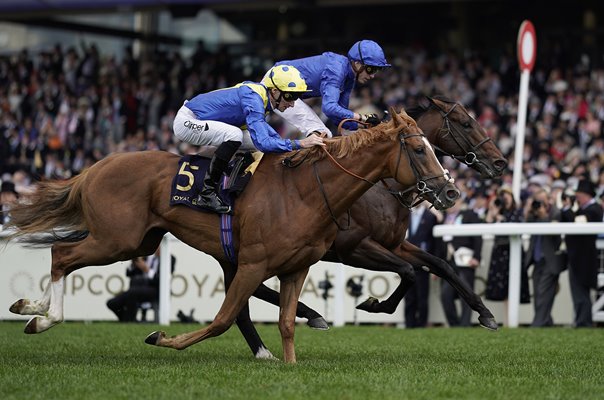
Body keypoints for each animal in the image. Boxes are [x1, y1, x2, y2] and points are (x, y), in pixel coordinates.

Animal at [5, 108, 458, 362]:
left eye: (434, 148)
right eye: (420, 150)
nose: (450, 191)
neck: (307, 189)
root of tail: (95, 167)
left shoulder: (297, 267)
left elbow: (286, 321)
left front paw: (290, 361)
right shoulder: (258, 261)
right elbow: (223, 318)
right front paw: (161, 337)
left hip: (141, 241)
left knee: (63, 254)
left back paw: (33, 309)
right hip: (118, 239)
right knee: (62, 254)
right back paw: (45, 317)